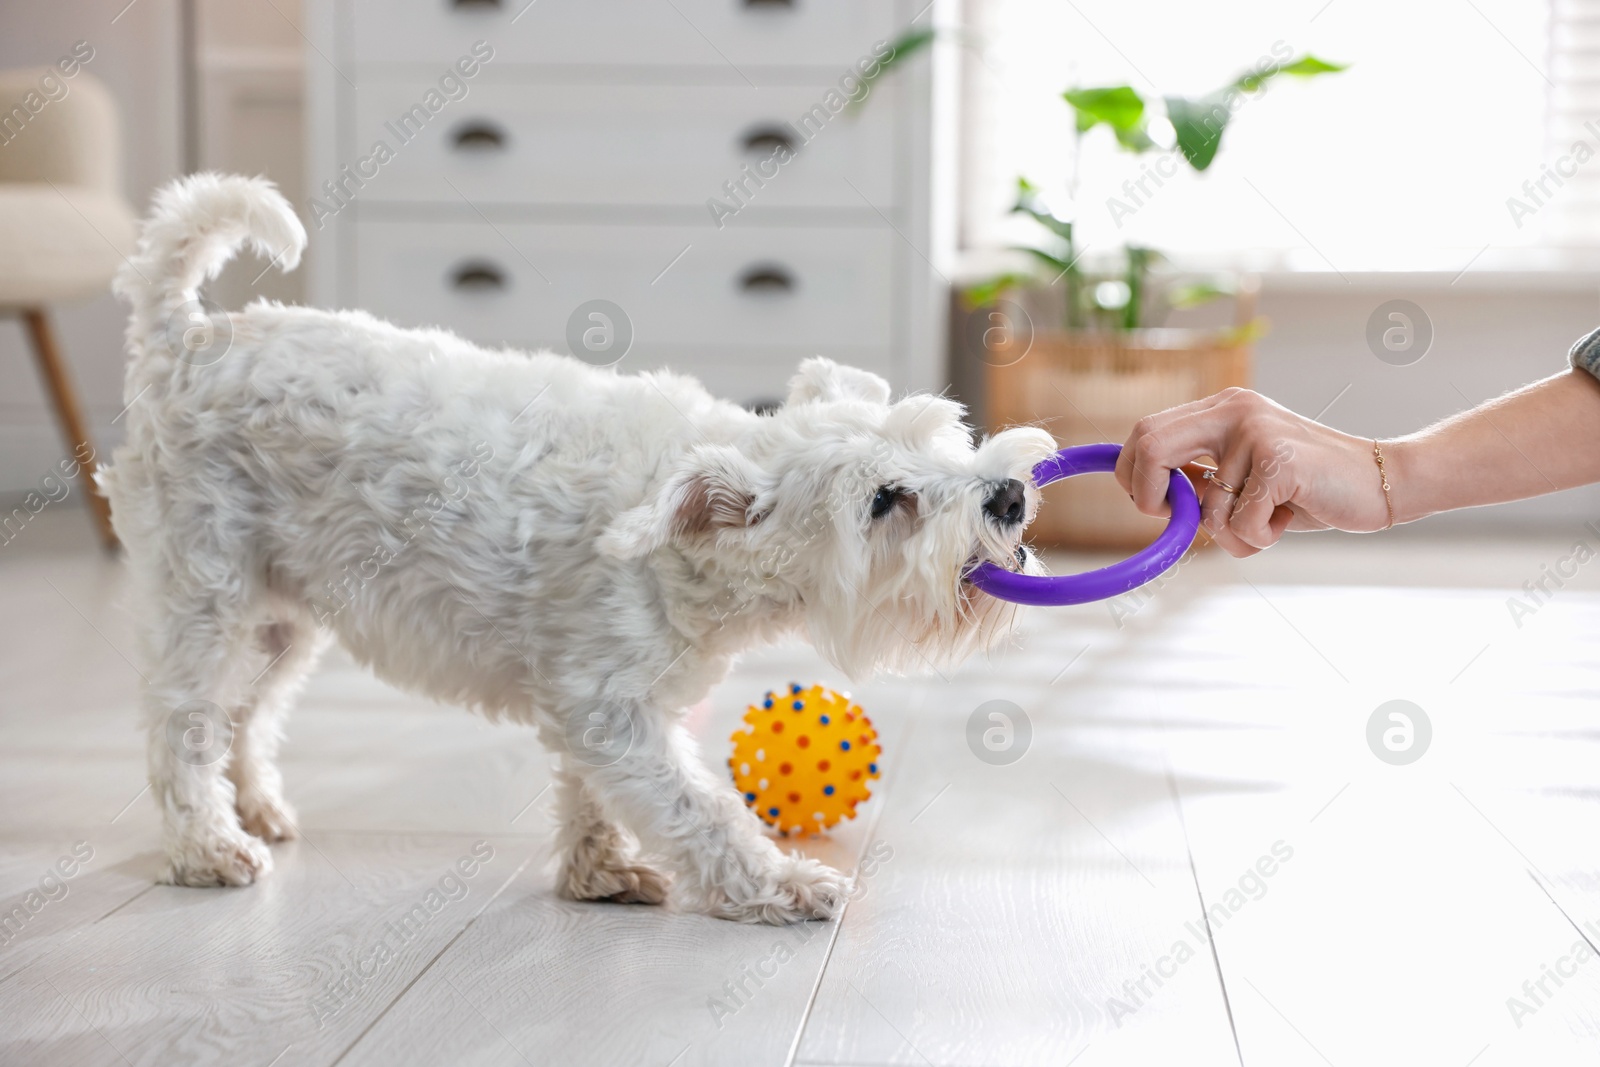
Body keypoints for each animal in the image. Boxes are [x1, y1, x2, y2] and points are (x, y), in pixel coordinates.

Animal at [96, 175, 1049, 927]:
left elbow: (591, 797)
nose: (1008, 495)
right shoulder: (610, 705)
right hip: (204, 593)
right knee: (182, 723)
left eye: (942, 435)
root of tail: (184, 338)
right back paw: (207, 847)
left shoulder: (607, 702)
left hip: (280, 619)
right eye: (885, 500)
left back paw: (253, 808)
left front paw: (601, 870)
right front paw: (781, 884)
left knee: (244, 715)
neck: (675, 544)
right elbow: (698, 810)